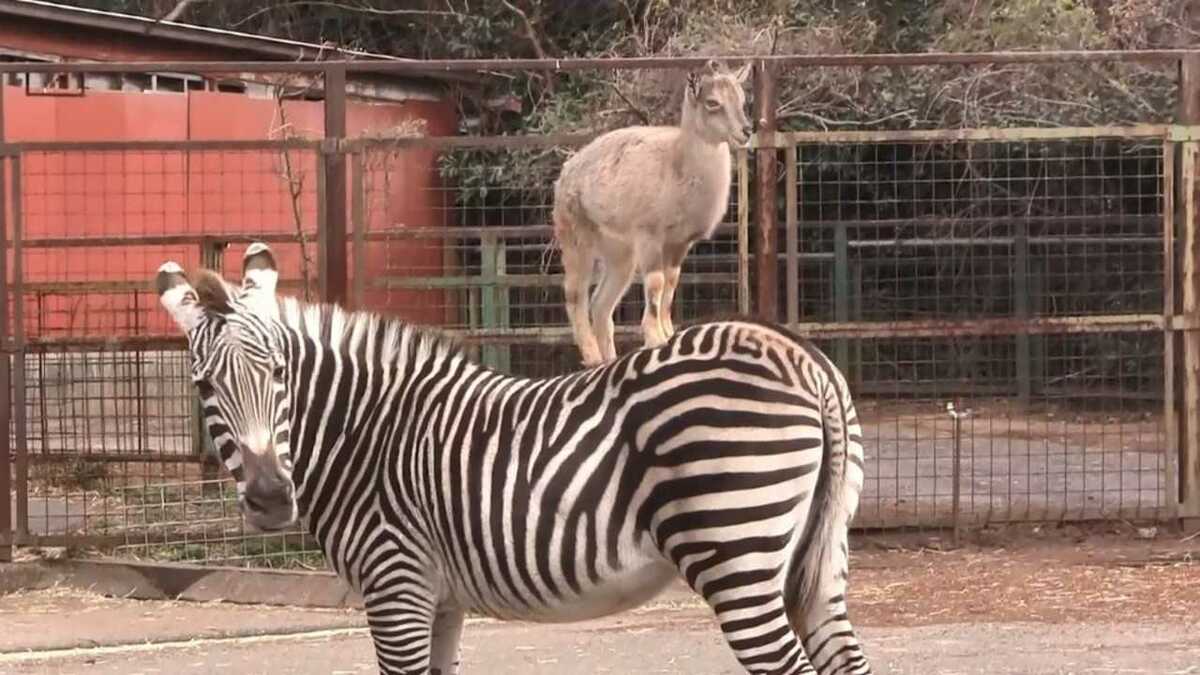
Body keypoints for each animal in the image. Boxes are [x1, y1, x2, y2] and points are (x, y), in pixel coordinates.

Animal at [157, 242, 873, 672]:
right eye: (203, 386)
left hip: (736, 554)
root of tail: (798, 353)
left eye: (279, 373)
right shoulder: (439, 598)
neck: (366, 434)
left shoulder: (396, 585)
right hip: (816, 558)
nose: (270, 499)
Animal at [549, 60, 748, 365]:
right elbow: (655, 283)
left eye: (743, 99)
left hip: (619, 252)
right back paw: (593, 357)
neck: (677, 167)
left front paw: (669, 332)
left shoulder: (679, 242)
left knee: (601, 303)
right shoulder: (649, 235)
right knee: (575, 295)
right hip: (575, 234)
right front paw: (655, 338)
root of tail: (564, 175)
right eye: (713, 102)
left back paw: (610, 359)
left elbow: (671, 282)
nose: (747, 130)